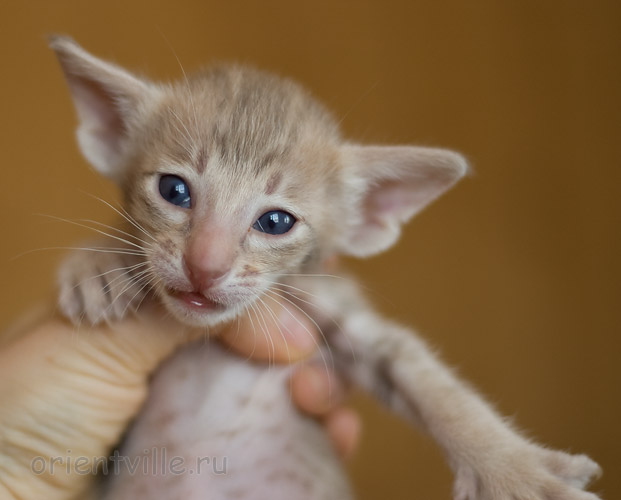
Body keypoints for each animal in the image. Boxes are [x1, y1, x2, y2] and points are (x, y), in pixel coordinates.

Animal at [50, 36, 604, 500]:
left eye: (276, 221)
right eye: (173, 190)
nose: (204, 266)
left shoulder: (333, 309)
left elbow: (432, 384)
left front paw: (512, 471)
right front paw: (100, 263)